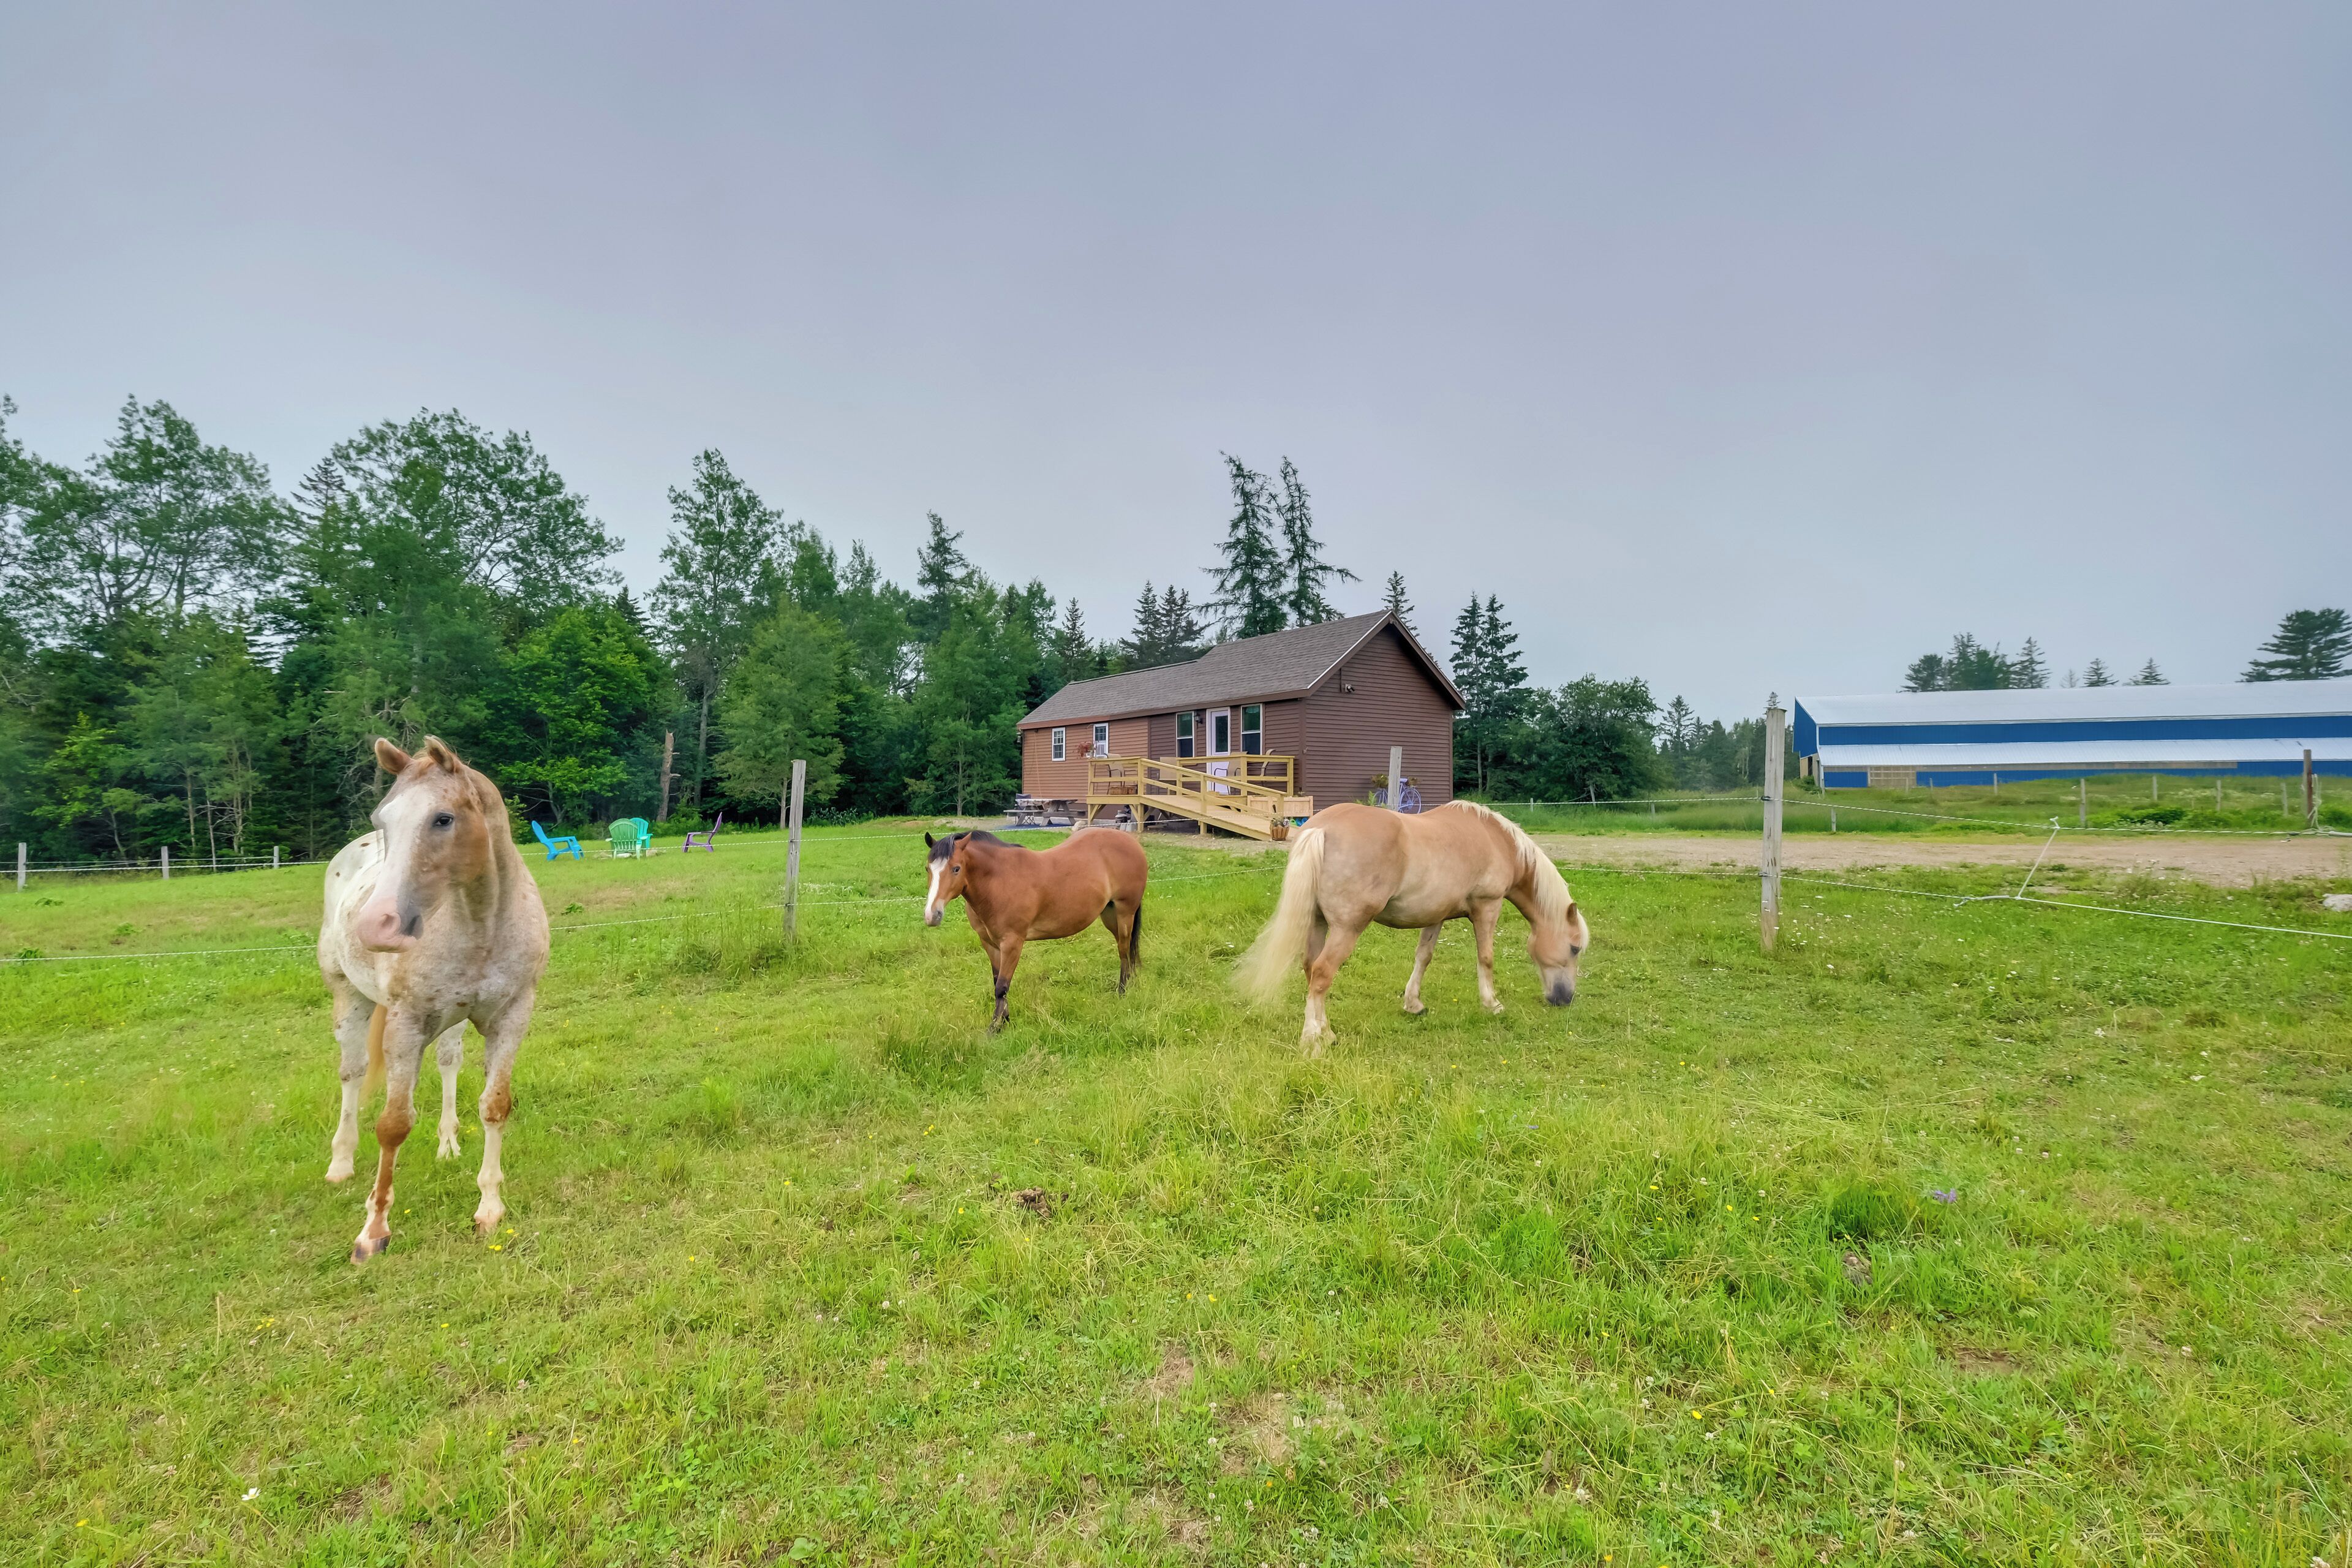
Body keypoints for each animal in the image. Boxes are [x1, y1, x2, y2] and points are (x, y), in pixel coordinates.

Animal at [318, 737, 551, 1263]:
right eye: (383, 819)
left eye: (443, 819)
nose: (375, 925)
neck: (482, 922)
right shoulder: (406, 1025)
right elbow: (393, 1124)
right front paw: (373, 1231)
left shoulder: (512, 1017)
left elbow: (494, 1106)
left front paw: (489, 1208)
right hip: (349, 998)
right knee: (352, 1074)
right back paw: (340, 1164)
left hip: (454, 1022)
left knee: (448, 1063)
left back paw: (448, 1145)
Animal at [922, 827, 1149, 1031]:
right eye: (928, 869)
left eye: (956, 869)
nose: (932, 915)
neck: (999, 881)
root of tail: (1131, 842)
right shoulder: (989, 943)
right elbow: (997, 983)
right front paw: (1005, 1021)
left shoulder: (1013, 943)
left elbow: (1002, 987)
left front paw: (994, 1029)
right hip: (1110, 915)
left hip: (1125, 913)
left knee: (1123, 951)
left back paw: (1122, 992)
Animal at [1236, 800, 1589, 1053]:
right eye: (1574, 948)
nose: (1566, 998)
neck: (1495, 840)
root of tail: (1320, 829)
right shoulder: (1488, 907)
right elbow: (1486, 958)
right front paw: (1492, 1004)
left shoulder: (1435, 917)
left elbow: (1424, 957)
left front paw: (1413, 1004)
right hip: (1347, 929)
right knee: (1322, 973)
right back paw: (1314, 1040)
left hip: (1318, 924)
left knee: (1311, 970)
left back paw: (1328, 1033)